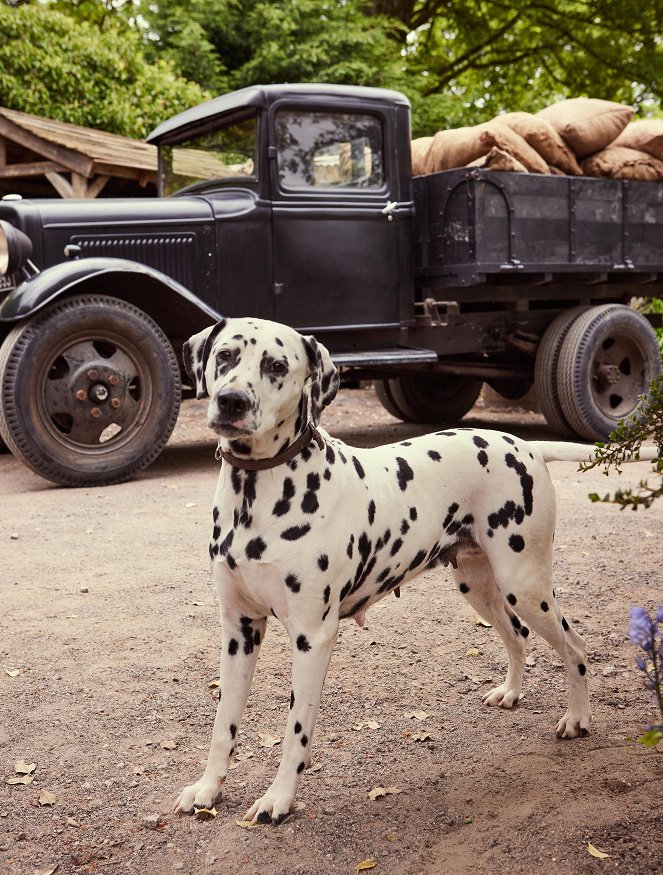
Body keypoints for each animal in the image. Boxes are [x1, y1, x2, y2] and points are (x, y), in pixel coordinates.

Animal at [175, 318, 660, 824]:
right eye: (225, 356)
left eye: (276, 365)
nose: (231, 400)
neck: (258, 493)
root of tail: (523, 443)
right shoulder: (239, 631)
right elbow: (223, 725)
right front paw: (208, 789)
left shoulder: (312, 637)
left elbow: (295, 731)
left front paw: (279, 798)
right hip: (480, 588)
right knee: (517, 635)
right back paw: (511, 692)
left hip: (525, 585)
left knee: (575, 645)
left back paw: (578, 718)